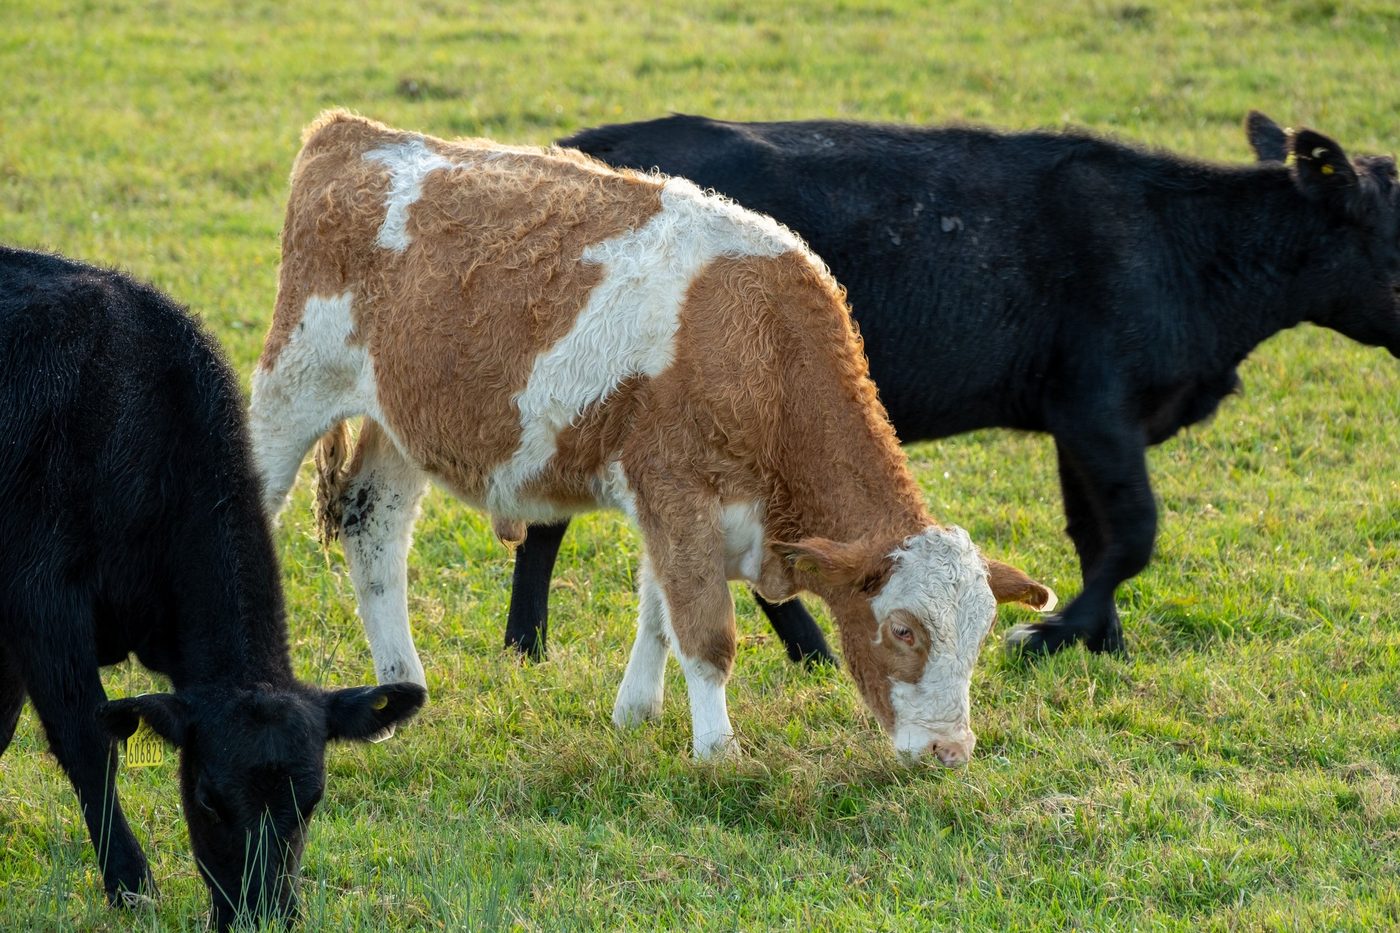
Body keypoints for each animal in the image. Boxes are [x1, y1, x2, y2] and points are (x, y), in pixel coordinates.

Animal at [0, 245, 427, 930]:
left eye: (312, 801)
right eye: (206, 799)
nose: (262, 914)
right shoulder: (39, 602)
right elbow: (88, 742)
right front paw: (131, 883)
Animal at [248, 111, 1055, 766]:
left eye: (981, 635)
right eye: (904, 630)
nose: (951, 751)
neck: (761, 345)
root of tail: (355, 134)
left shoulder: (672, 503)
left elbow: (660, 611)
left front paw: (637, 711)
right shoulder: (676, 488)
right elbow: (705, 630)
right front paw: (718, 750)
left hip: (397, 422)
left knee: (373, 525)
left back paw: (399, 698)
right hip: (294, 385)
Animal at [496, 111, 1400, 661]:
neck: (1187, 242)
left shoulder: (1074, 419)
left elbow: (1095, 533)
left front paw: (1099, 639)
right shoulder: (1098, 408)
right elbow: (1134, 531)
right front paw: (1054, 630)